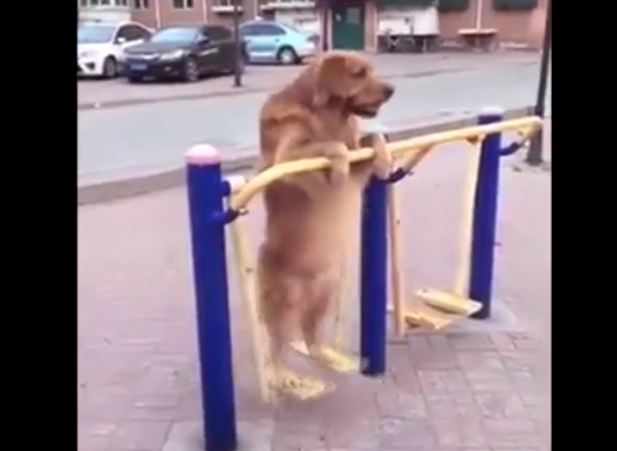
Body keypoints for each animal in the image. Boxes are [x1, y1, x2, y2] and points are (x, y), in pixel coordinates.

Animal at [256, 50, 394, 396]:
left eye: (372, 69)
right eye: (359, 73)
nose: (391, 89)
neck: (325, 115)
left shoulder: (360, 158)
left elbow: (371, 137)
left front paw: (384, 157)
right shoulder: (288, 156)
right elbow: (333, 147)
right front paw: (339, 165)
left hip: (327, 294)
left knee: (312, 339)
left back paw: (331, 358)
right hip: (284, 302)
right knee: (277, 347)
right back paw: (282, 376)